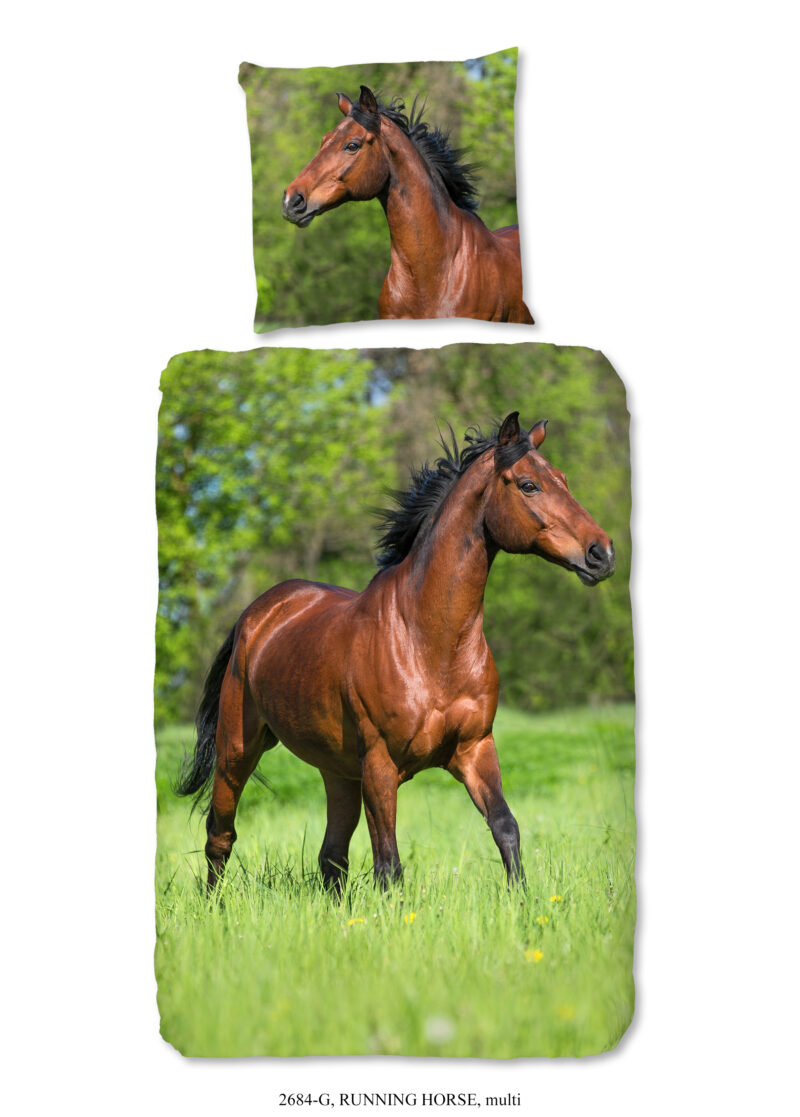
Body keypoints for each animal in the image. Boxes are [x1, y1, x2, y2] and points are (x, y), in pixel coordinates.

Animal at [175, 412, 614, 892]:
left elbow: (505, 828)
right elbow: (389, 864)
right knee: (221, 836)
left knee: (331, 857)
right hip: (238, 750)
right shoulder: (381, 765)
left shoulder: (475, 749)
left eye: (563, 479)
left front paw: (523, 900)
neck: (428, 644)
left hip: (339, 772)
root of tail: (257, 615)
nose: (601, 554)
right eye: (528, 485)